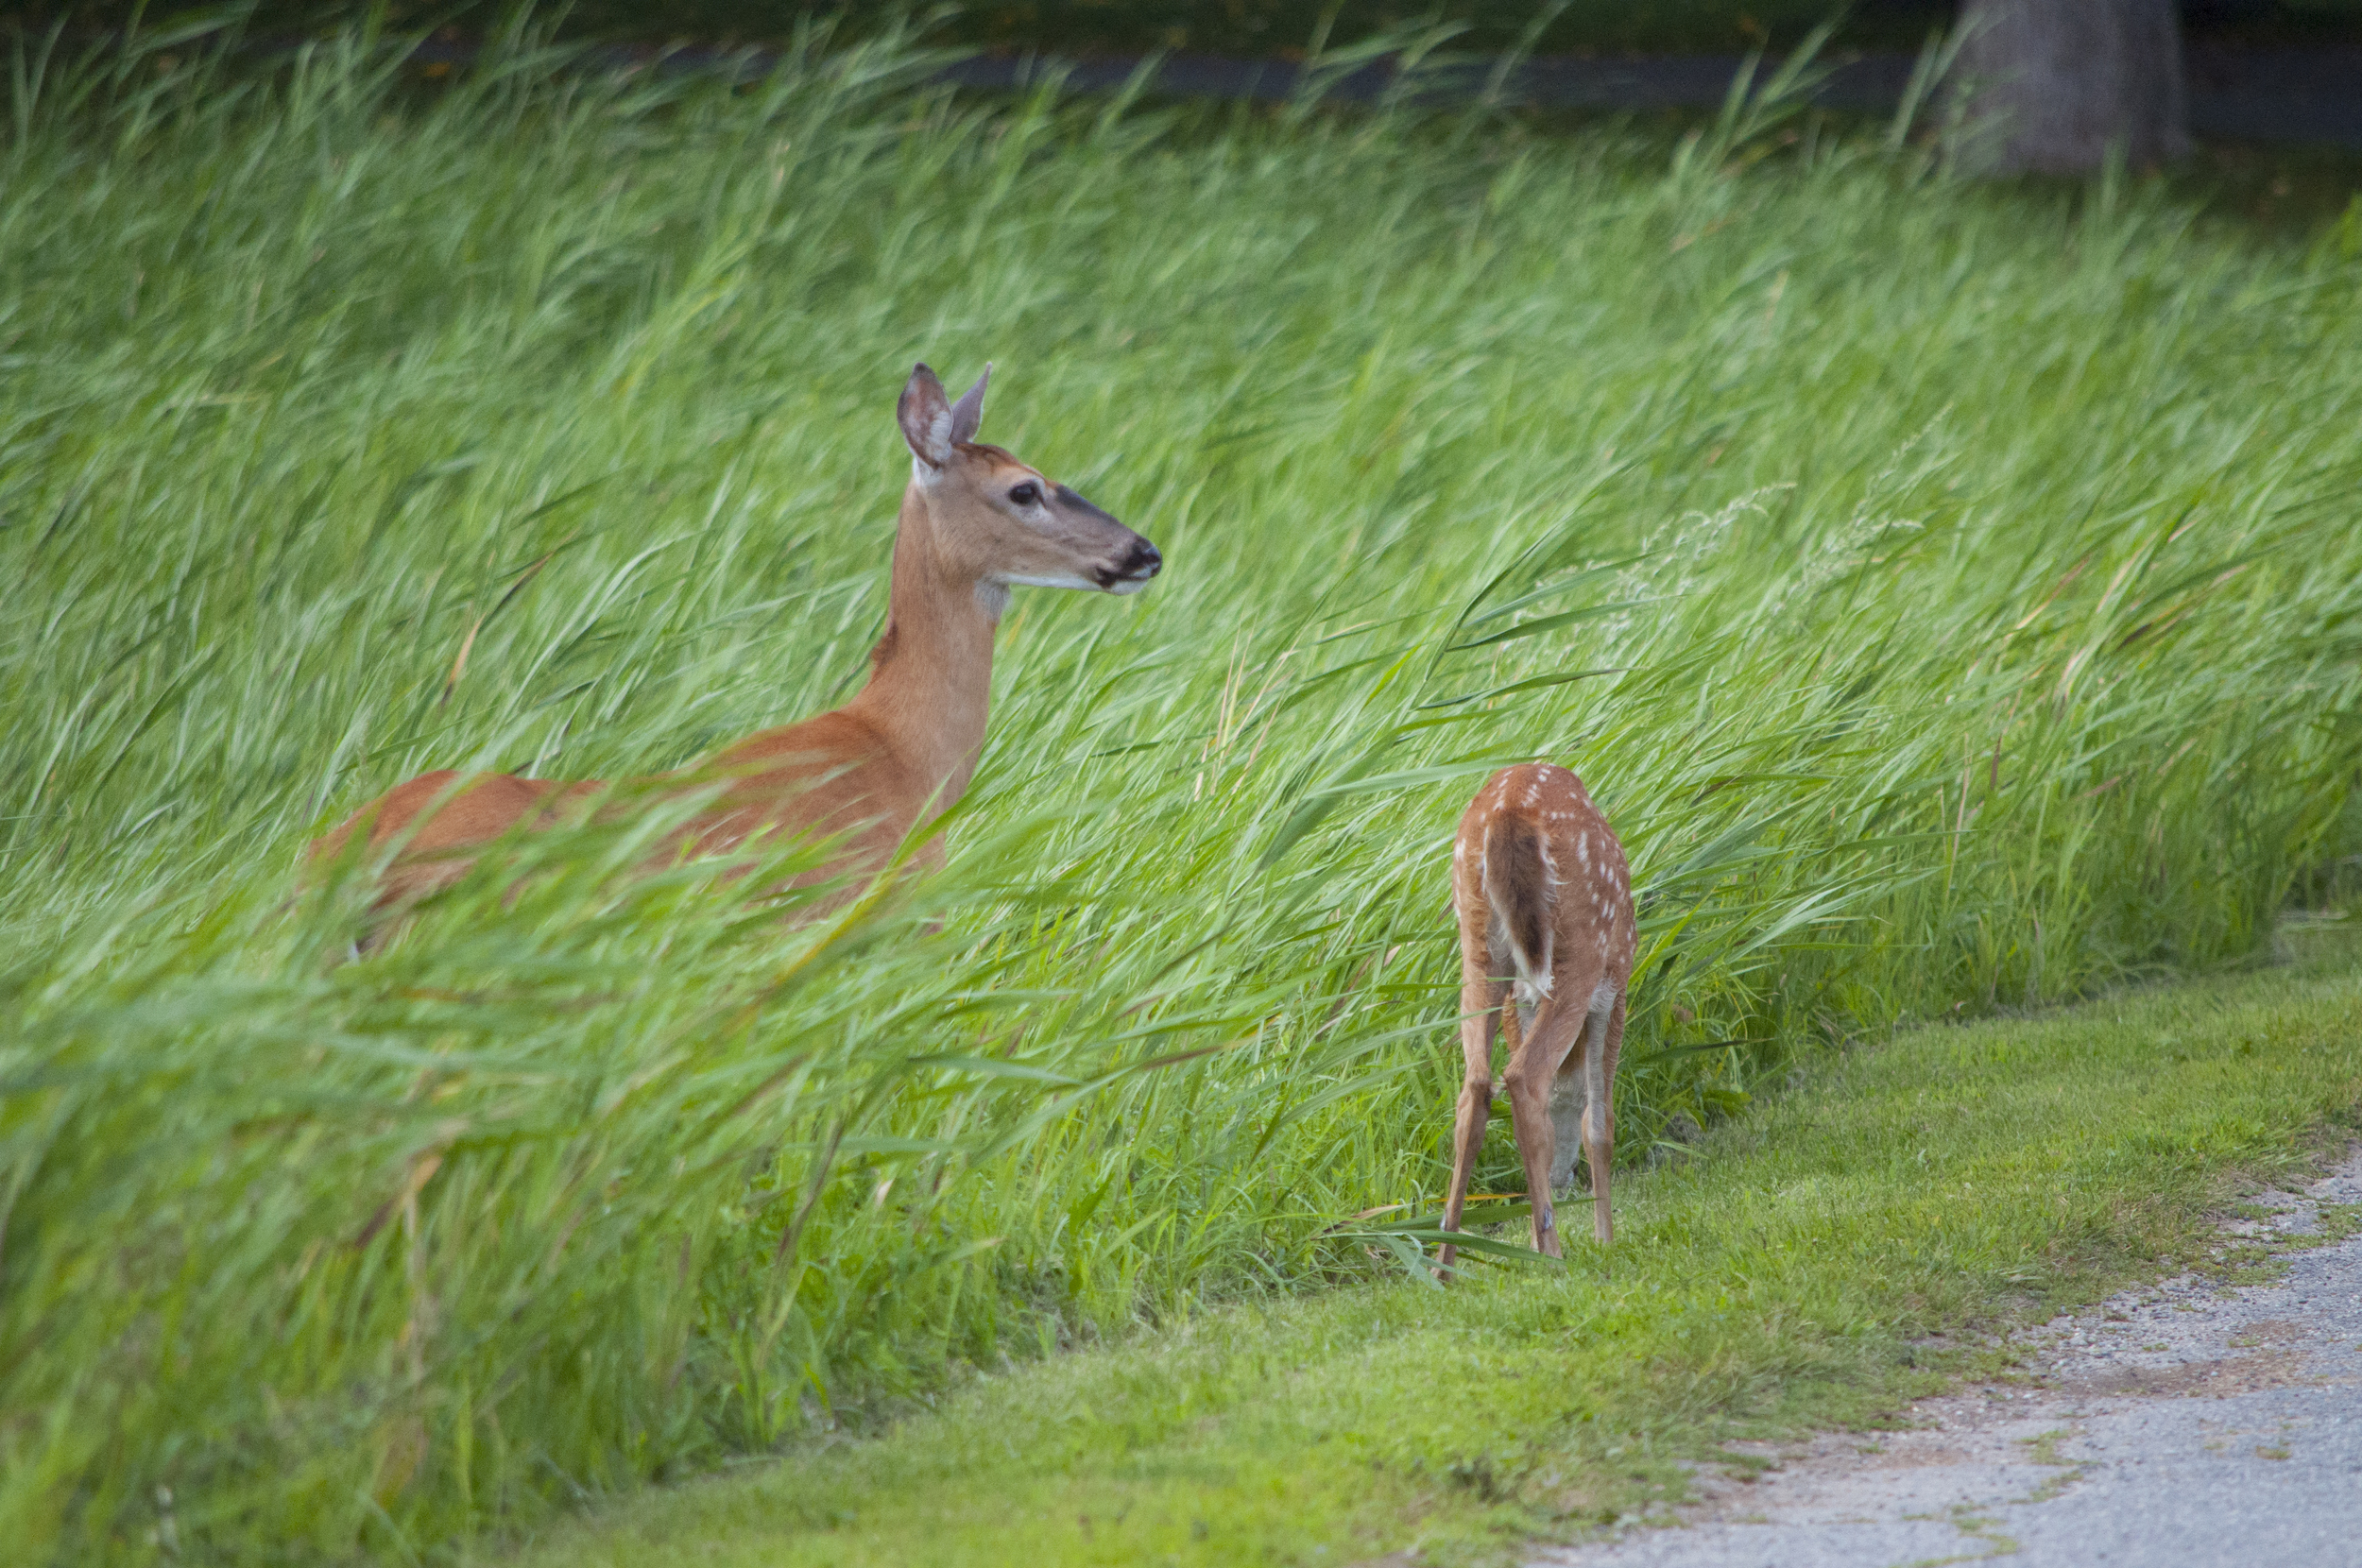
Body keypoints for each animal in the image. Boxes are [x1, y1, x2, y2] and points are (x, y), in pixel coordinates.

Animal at [1427, 756, 1635, 1266]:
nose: (1563, 1178)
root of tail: (1509, 811)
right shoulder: (1614, 989)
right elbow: (1599, 1123)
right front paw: (1605, 1240)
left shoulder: (1520, 996)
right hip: (1581, 947)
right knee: (1524, 1077)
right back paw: (1552, 1255)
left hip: (1480, 950)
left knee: (1476, 1084)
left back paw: (1446, 1261)